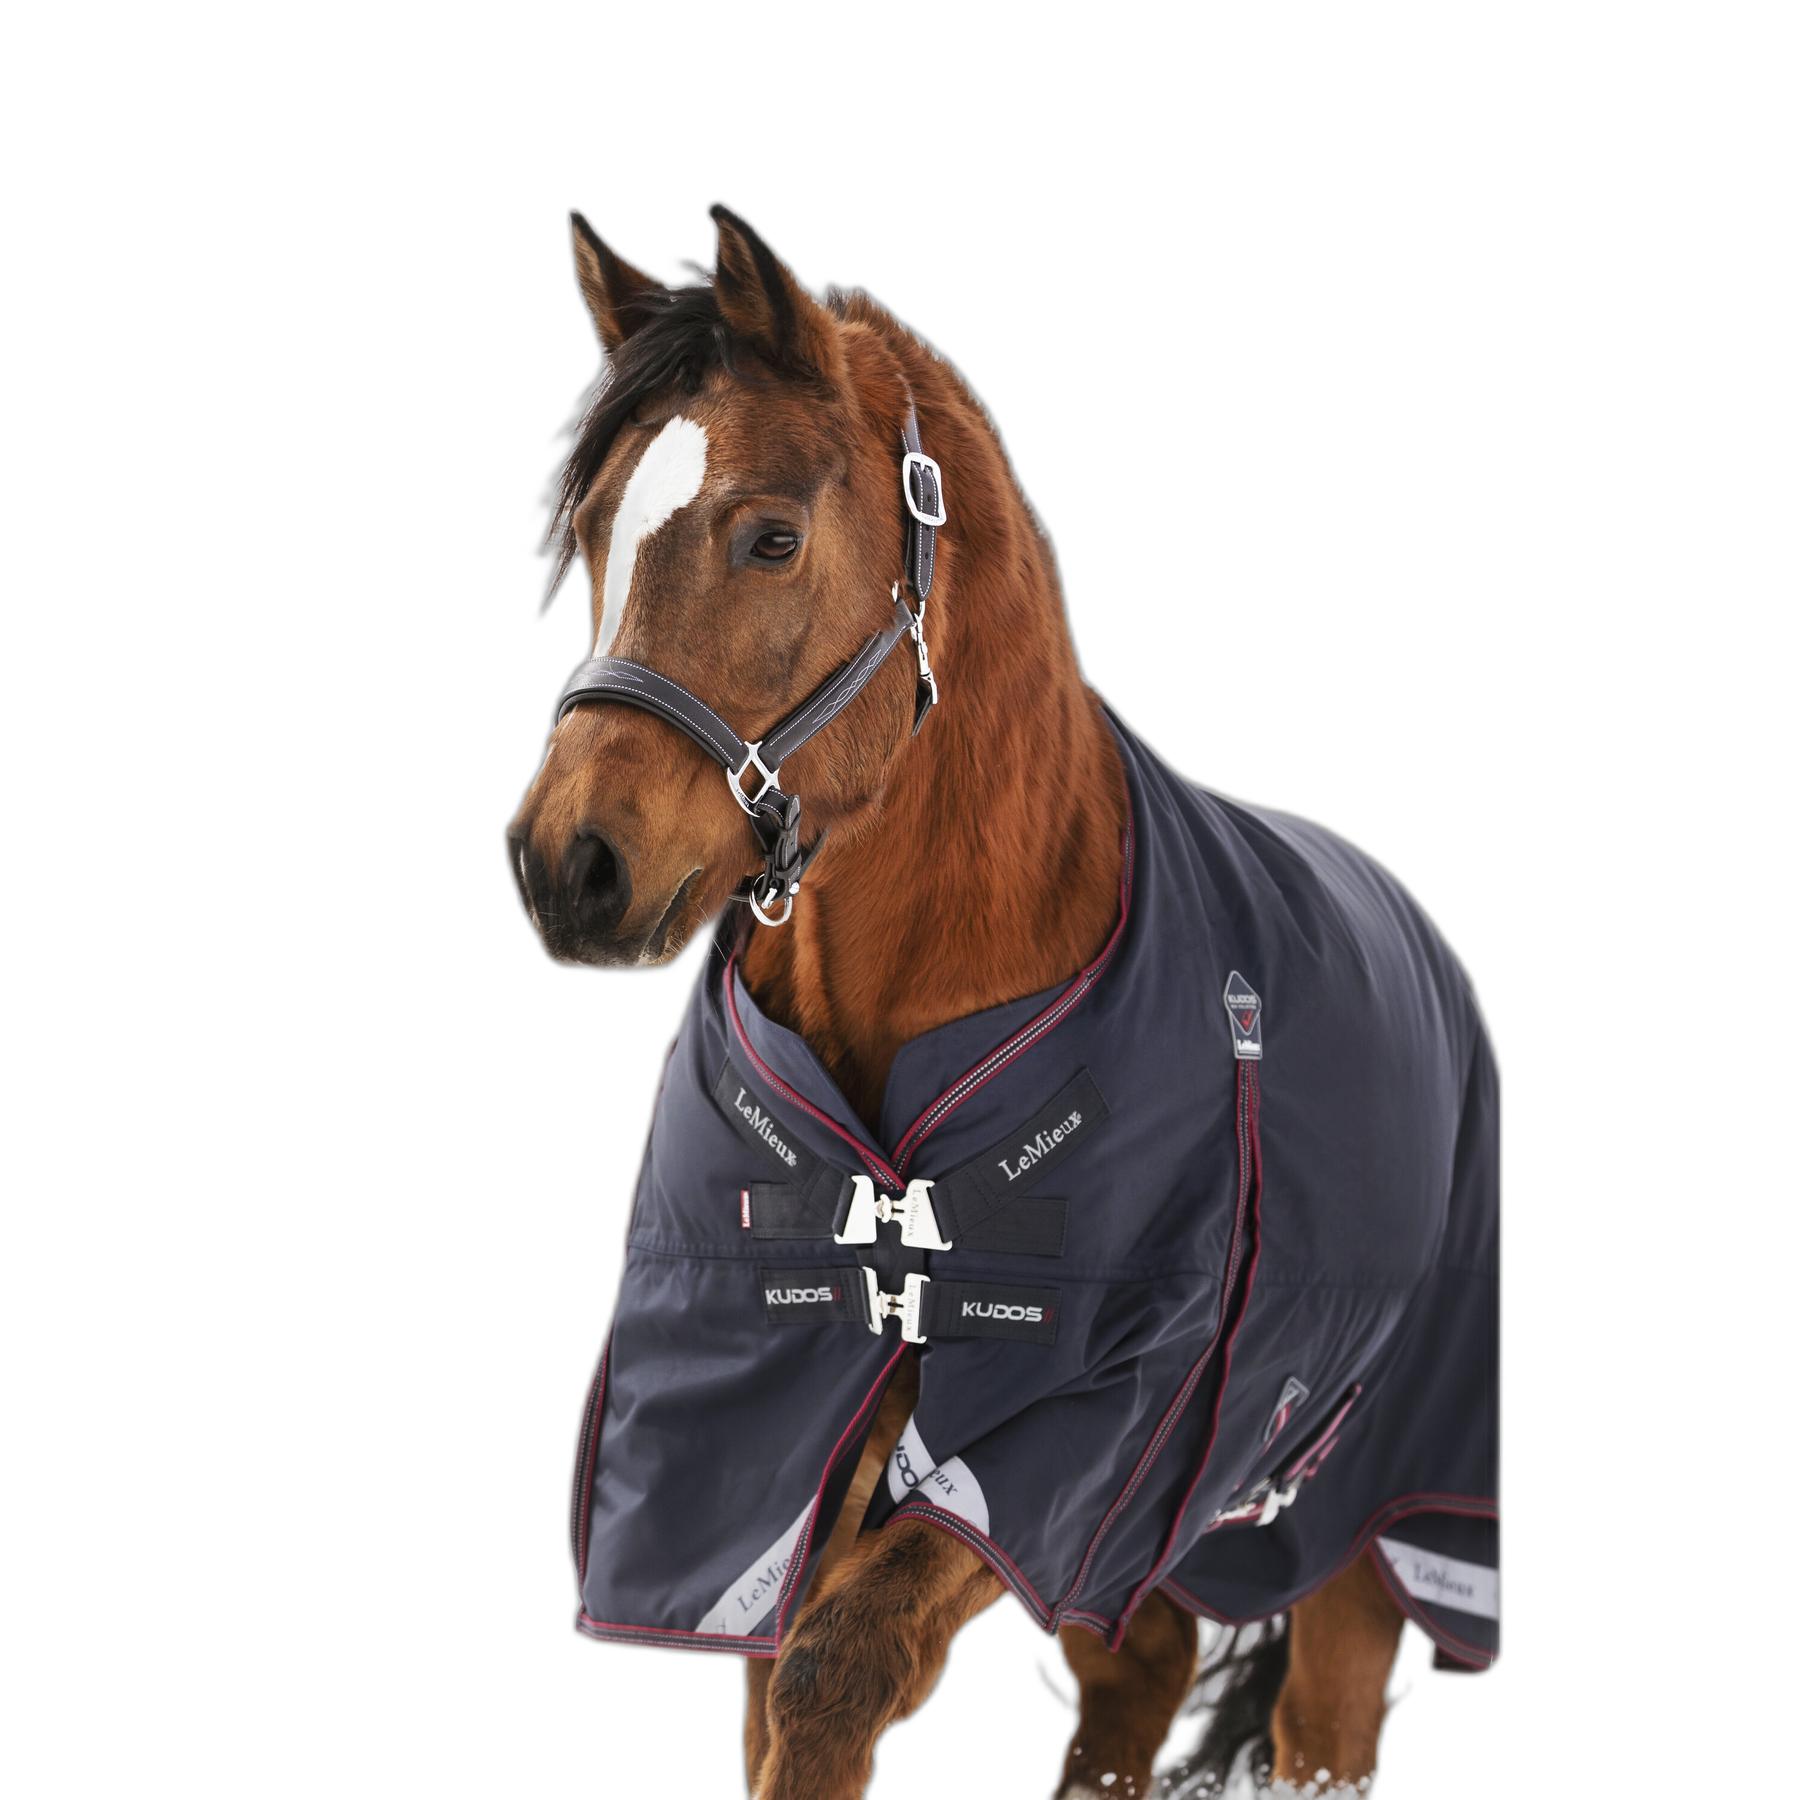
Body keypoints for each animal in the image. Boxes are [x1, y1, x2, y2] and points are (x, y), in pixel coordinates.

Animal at [508, 205, 1498, 1797]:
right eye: (597, 530)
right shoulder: (780, 1451)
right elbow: (787, 1691)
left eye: (771, 535)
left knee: (1323, 1719)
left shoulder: (1079, 1432)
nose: (567, 863)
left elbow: (839, 1671)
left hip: (1364, 1512)